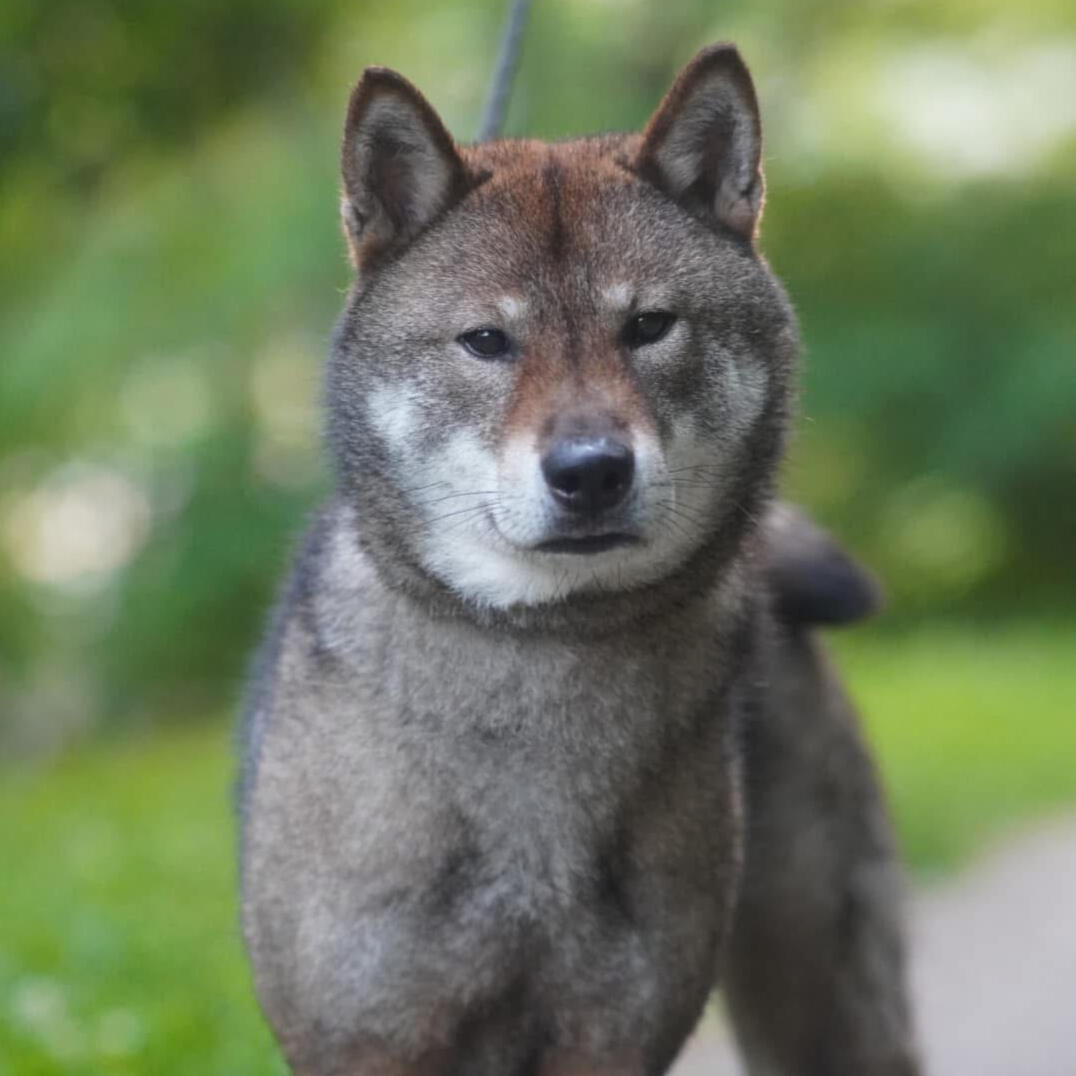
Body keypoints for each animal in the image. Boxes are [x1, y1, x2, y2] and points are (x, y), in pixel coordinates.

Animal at [239, 44, 921, 1076]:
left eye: (649, 327)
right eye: (486, 341)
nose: (592, 471)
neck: (539, 669)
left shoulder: (615, 1034)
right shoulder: (367, 1040)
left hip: (826, 1004)